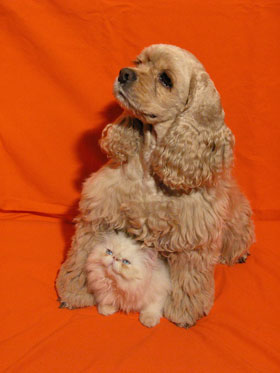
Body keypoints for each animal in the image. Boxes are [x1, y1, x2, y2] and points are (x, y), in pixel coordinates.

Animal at [55, 44, 255, 326]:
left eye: (165, 79)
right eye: (139, 62)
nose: (124, 73)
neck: (150, 168)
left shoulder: (193, 237)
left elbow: (189, 280)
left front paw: (184, 313)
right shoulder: (98, 214)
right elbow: (82, 255)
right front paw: (74, 292)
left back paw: (239, 254)